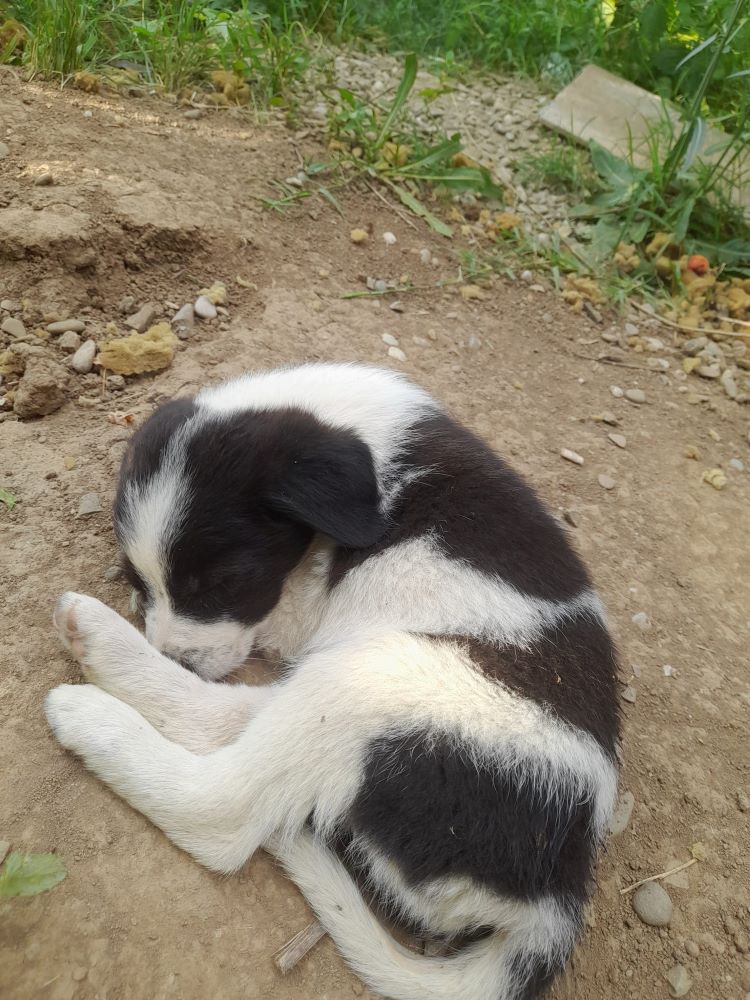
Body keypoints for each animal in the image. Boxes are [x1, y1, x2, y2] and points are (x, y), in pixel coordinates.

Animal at [48, 362, 624, 1000]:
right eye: (137, 580)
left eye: (223, 581)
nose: (181, 658)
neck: (367, 448)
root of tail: (552, 893)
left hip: (385, 676)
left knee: (221, 807)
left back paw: (93, 697)